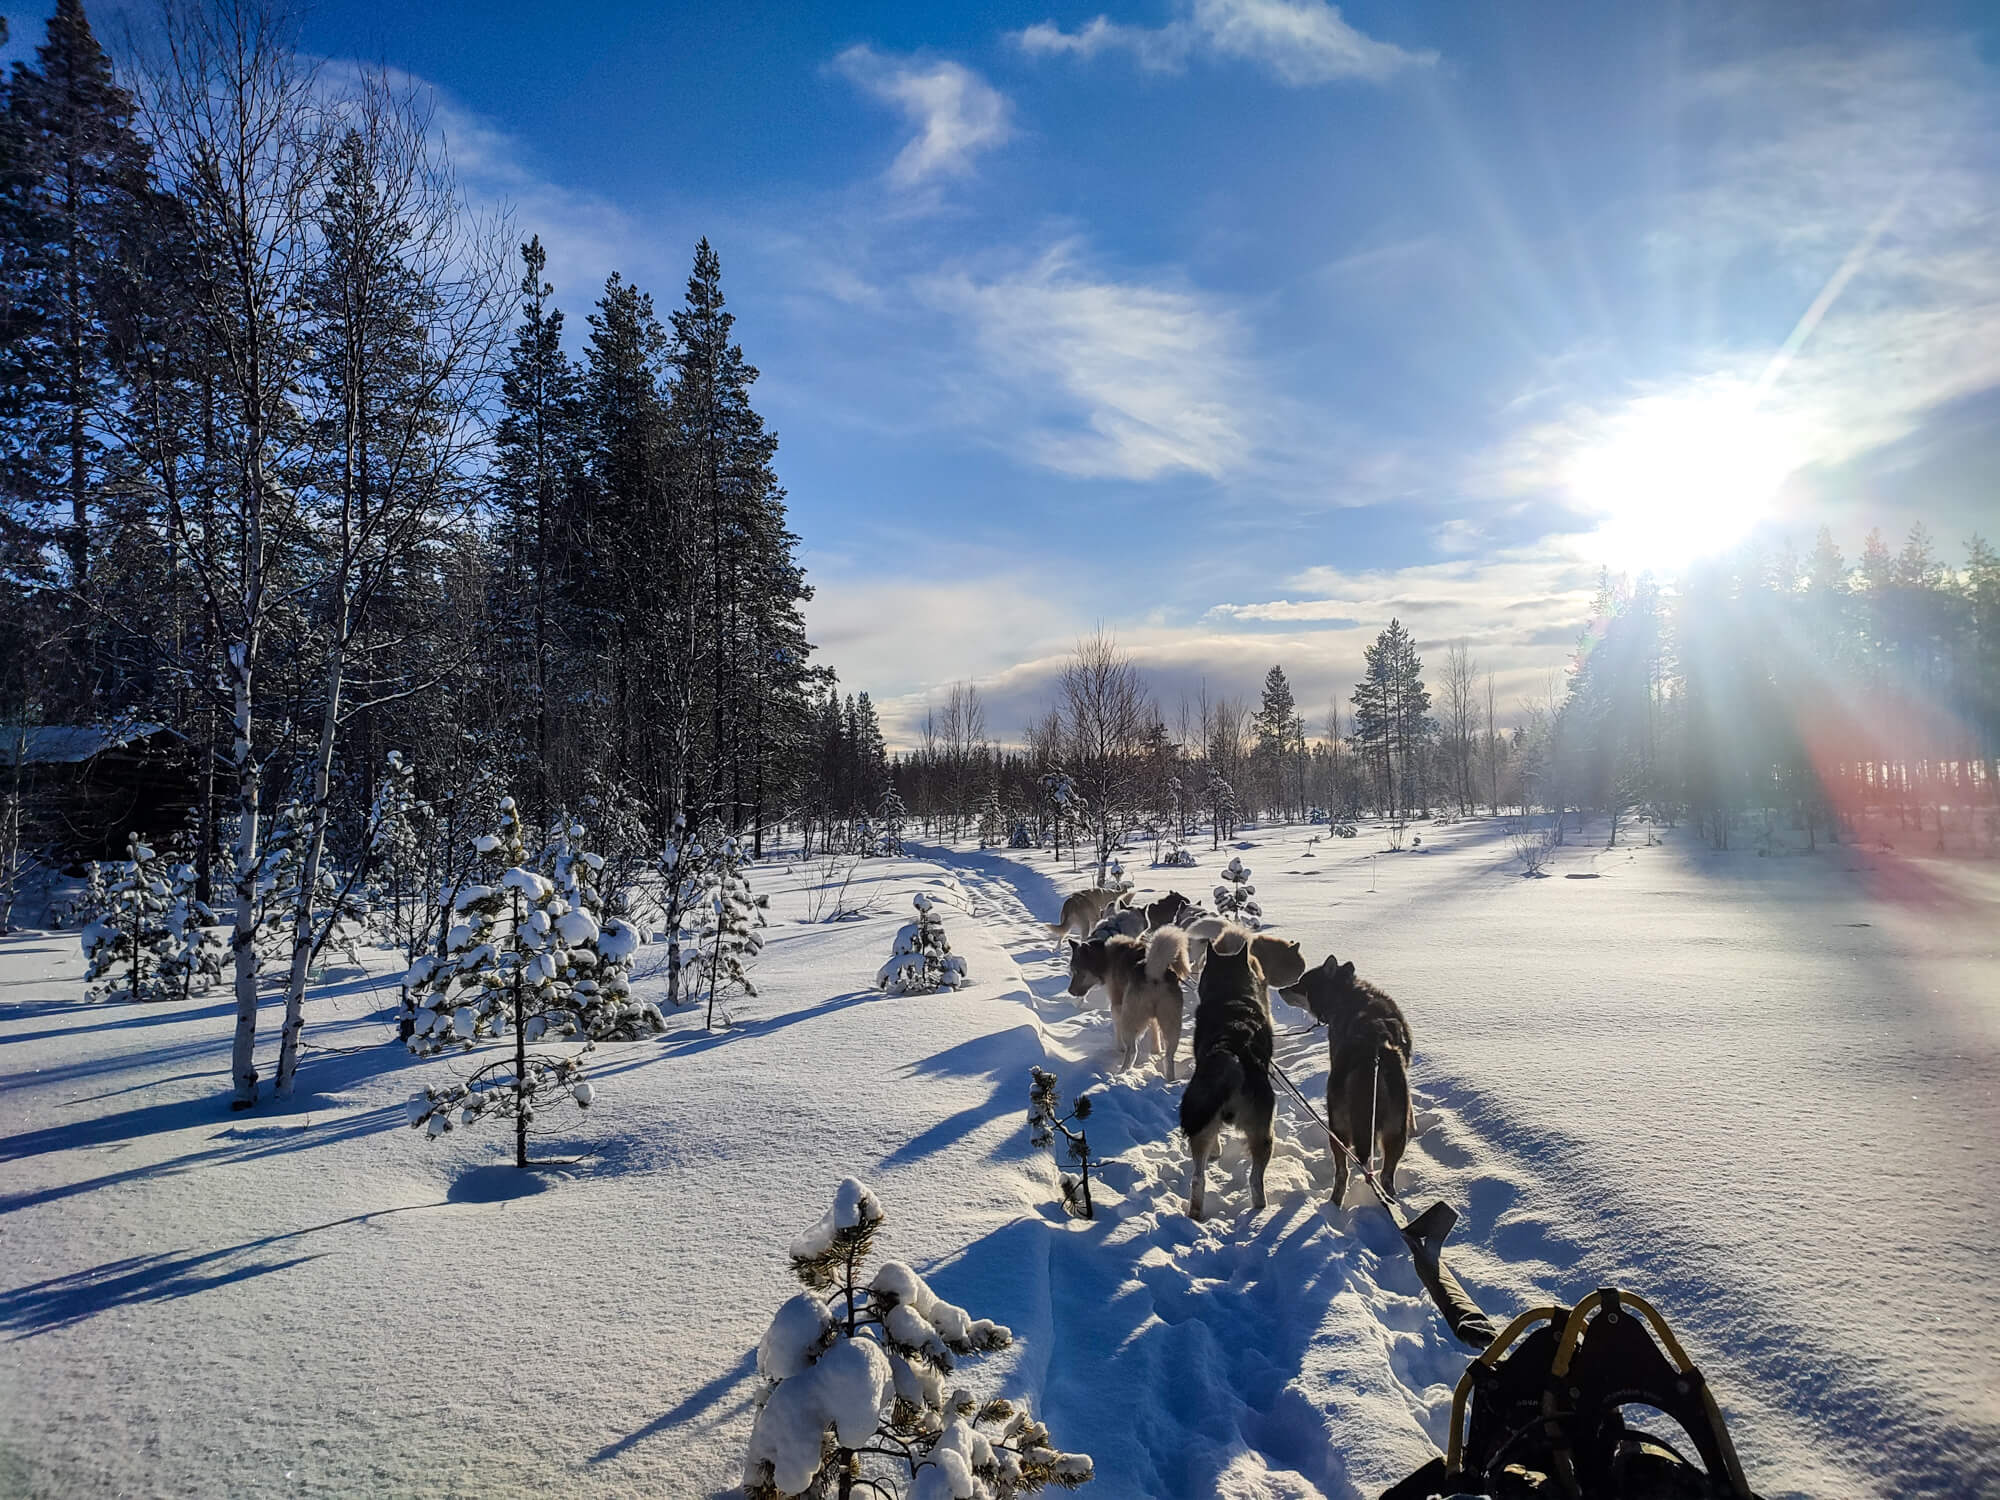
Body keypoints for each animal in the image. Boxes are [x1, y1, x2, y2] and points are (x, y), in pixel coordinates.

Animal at [1064, 928, 1184, 1080]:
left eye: (1076, 971)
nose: (1070, 991)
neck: (1106, 955)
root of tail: (1154, 972)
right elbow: (1154, 1030)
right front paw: (1155, 1051)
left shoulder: (1116, 1005)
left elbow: (1118, 1030)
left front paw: (1119, 1048)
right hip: (1171, 1023)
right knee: (1169, 1056)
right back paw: (1170, 1080)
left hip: (1131, 1019)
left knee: (1132, 1050)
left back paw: (1121, 1073)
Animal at [1176, 928, 1272, 1224]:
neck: (1231, 995)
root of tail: (1231, 1053)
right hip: (1264, 1133)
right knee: (1255, 1179)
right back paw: (1260, 1208)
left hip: (1203, 1124)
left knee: (1198, 1178)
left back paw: (1195, 1213)